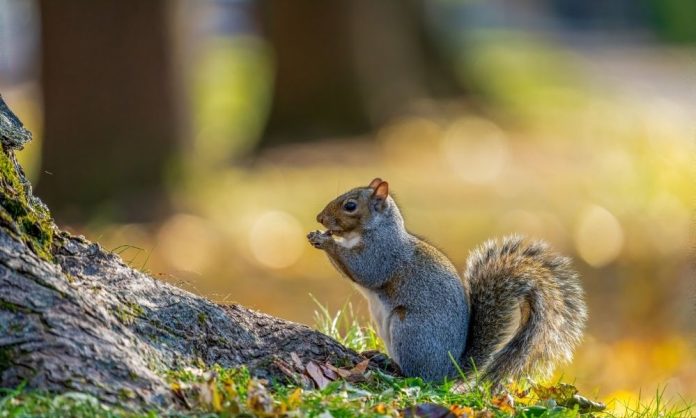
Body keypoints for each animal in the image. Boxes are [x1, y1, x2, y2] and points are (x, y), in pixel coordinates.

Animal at [308, 176, 584, 386]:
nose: (320, 218)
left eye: (350, 206)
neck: (375, 229)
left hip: (410, 330)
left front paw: (326, 240)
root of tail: (447, 373)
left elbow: (364, 270)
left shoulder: (383, 253)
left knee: (418, 376)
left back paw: (394, 367)